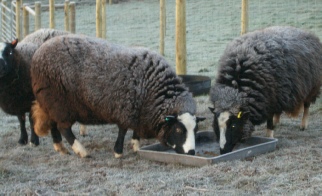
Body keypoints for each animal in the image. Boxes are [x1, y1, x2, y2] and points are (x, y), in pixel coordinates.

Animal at [31, 34, 205, 158]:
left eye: (196, 129)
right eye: (178, 130)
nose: (191, 152)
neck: (152, 90)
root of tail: (38, 53)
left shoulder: (139, 111)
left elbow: (135, 129)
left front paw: (136, 146)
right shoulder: (125, 108)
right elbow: (123, 129)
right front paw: (118, 152)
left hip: (50, 102)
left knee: (53, 124)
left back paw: (60, 148)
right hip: (59, 102)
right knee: (64, 128)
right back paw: (82, 151)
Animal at [209, 26, 322, 155]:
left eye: (233, 125)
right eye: (216, 125)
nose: (223, 151)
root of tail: (305, 32)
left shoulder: (269, 100)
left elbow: (269, 119)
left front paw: (269, 135)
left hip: (311, 87)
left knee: (307, 106)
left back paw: (303, 124)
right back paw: (277, 121)